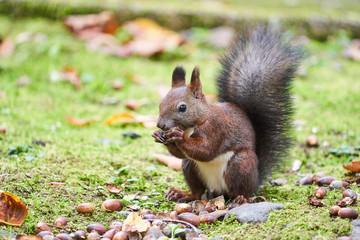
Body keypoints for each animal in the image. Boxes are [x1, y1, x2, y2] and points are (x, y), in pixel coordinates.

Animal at [150, 25, 302, 202]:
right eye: (161, 102)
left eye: (182, 107)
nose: (160, 124)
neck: (193, 124)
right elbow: (181, 154)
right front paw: (159, 135)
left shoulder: (216, 129)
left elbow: (206, 150)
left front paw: (178, 136)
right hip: (190, 167)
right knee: (197, 192)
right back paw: (181, 194)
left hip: (240, 165)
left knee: (241, 190)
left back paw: (241, 198)